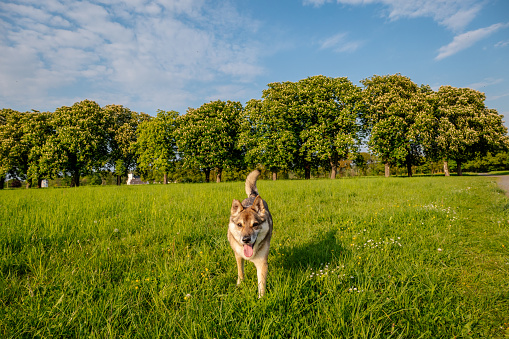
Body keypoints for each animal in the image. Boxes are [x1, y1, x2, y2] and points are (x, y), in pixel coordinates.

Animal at [227, 170, 272, 298]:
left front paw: (261, 299)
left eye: (255, 224)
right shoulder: (238, 255)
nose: (246, 239)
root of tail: (252, 196)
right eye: (239, 225)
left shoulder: (262, 263)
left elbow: (261, 284)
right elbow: (240, 272)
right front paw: (240, 285)